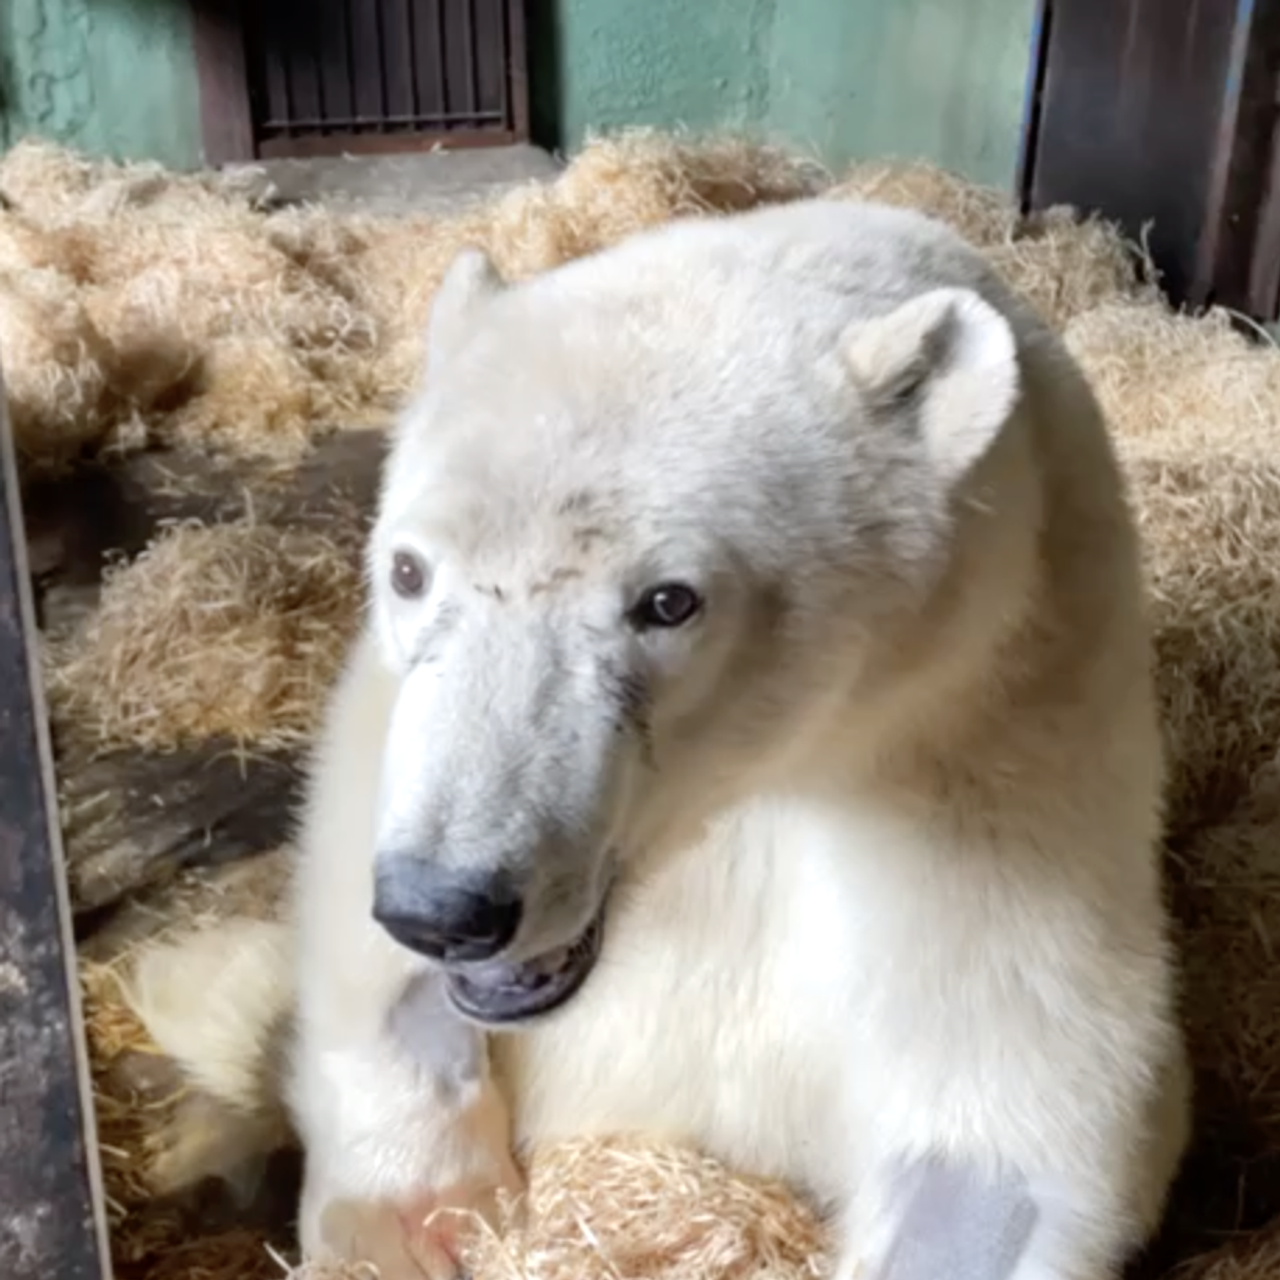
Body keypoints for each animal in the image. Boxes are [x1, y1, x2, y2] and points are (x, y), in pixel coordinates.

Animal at [129, 197, 1187, 1280]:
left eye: (667, 601)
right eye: (409, 570)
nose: (447, 906)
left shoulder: (997, 747)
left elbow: (999, 1129)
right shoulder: (388, 714)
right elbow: (354, 931)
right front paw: (417, 1217)